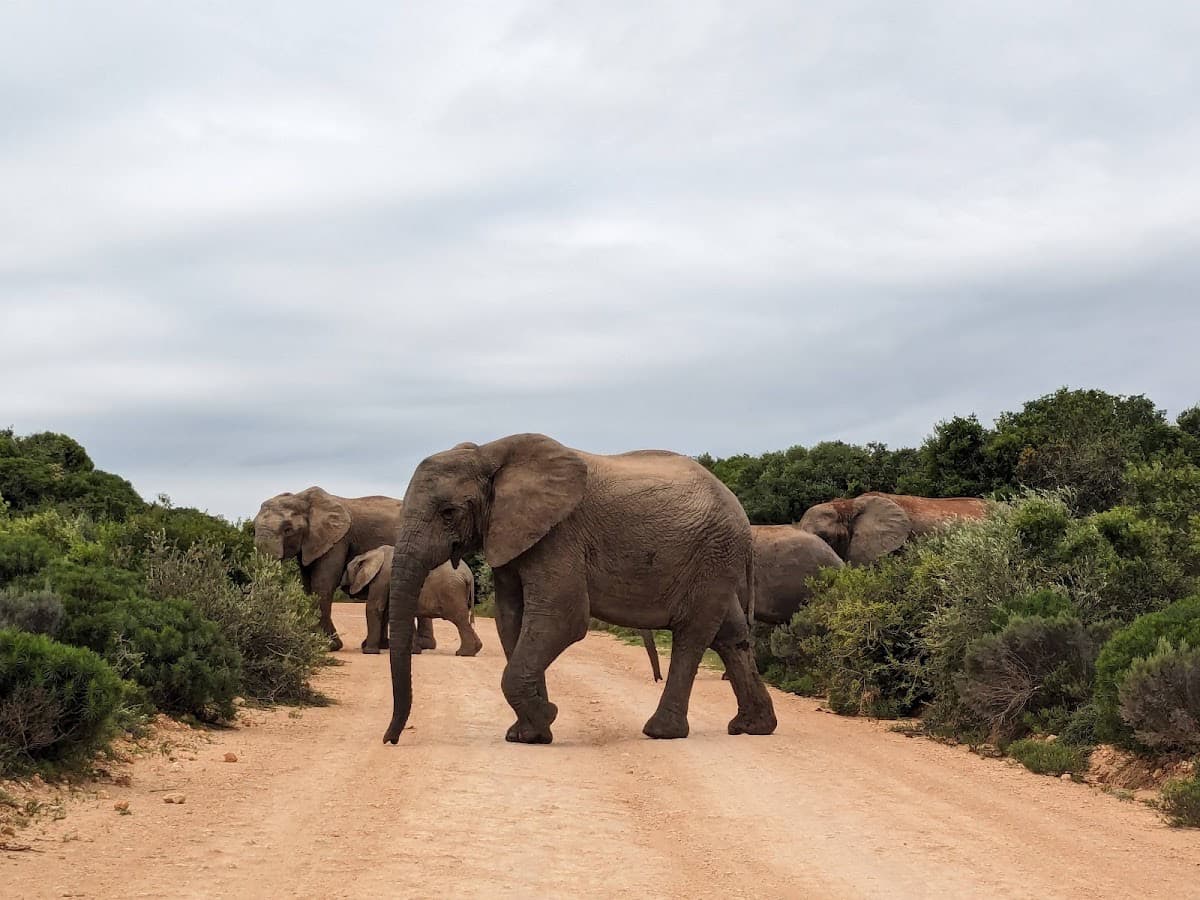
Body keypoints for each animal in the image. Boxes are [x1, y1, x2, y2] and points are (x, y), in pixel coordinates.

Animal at [252, 487, 436, 652]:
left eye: (288, 530)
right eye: (253, 528)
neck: (302, 498)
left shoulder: (338, 541)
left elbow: (322, 585)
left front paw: (328, 646)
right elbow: (308, 586)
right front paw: (313, 643)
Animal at [341, 546, 483, 657]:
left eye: (347, 570)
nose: (342, 585)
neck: (372, 553)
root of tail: (469, 574)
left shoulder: (382, 577)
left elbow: (375, 607)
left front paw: (368, 651)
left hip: (451, 590)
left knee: (459, 618)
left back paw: (464, 653)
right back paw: (474, 650)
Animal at [382, 433, 777, 745]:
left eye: (448, 512)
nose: (391, 739)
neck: (489, 453)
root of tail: (743, 517)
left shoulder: (559, 534)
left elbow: (562, 617)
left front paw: (545, 717)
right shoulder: (511, 536)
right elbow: (511, 620)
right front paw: (530, 733)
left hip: (712, 555)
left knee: (692, 635)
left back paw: (661, 732)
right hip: (716, 563)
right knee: (731, 635)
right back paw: (753, 727)